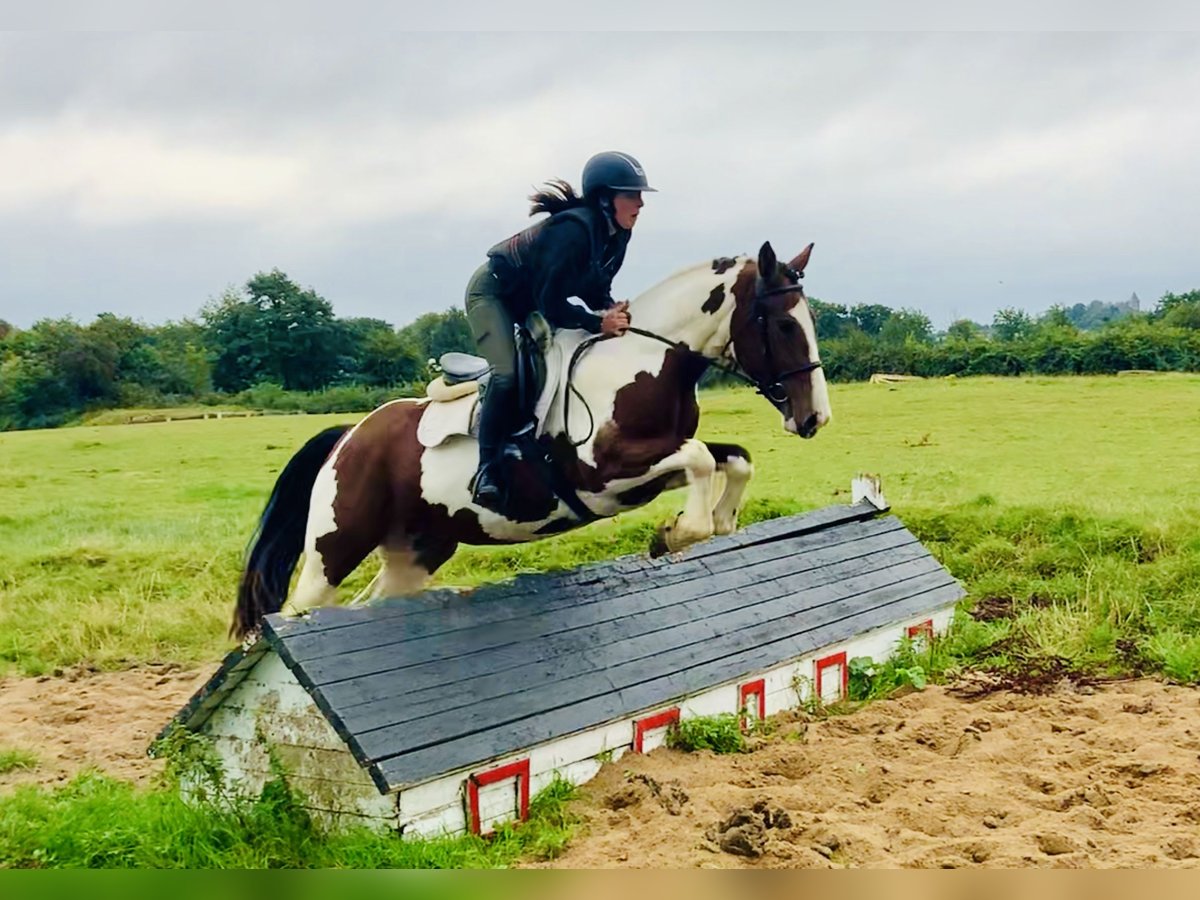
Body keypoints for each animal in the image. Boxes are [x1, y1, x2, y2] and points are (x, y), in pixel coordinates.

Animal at [234, 236, 835, 638]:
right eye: (784, 325)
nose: (815, 419)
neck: (645, 359)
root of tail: (349, 436)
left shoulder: (649, 470)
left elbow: (732, 459)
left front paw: (718, 522)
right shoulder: (604, 473)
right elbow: (701, 460)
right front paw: (678, 533)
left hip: (418, 550)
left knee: (367, 605)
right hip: (334, 548)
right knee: (296, 611)